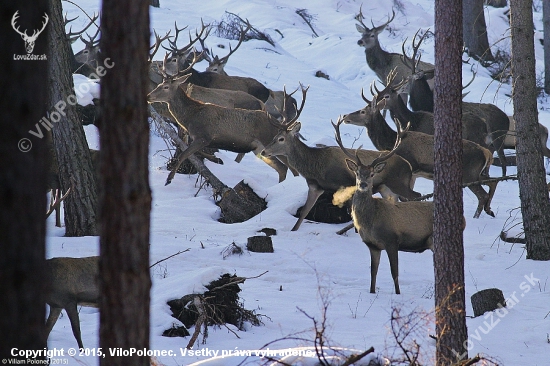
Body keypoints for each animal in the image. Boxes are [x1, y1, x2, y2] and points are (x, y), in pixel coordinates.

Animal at [336, 120, 462, 294]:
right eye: (357, 173)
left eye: (372, 174)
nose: (363, 184)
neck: (370, 221)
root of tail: (463, 219)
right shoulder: (372, 246)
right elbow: (373, 272)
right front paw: (372, 292)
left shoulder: (392, 240)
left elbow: (394, 272)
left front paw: (397, 293)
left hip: (433, 240)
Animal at [340, 91, 500, 219]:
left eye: (362, 111)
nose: (345, 116)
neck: (391, 142)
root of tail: (485, 153)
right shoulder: (414, 174)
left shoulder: (411, 168)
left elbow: (407, 197)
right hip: (477, 174)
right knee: (493, 182)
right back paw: (489, 210)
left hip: (469, 174)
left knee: (483, 194)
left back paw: (477, 216)